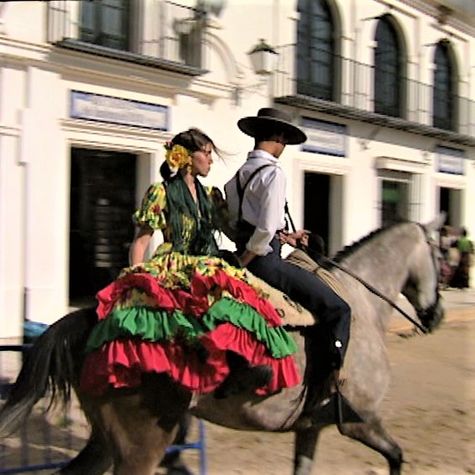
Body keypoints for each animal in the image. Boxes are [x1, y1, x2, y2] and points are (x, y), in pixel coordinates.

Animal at [0, 218, 446, 474]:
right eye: (442, 255)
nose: (437, 314)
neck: (362, 303)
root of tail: (90, 320)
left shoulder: (310, 428)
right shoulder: (360, 421)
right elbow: (396, 457)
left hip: (108, 441)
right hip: (140, 445)